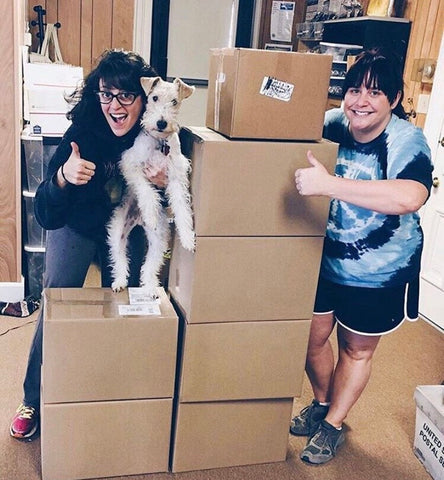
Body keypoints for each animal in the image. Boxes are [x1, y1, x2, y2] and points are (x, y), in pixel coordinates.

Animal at [106, 76, 195, 296]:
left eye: (174, 101)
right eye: (154, 97)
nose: (161, 123)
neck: (160, 142)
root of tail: (138, 222)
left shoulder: (176, 177)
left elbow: (182, 208)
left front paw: (188, 238)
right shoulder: (131, 165)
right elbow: (147, 192)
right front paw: (151, 214)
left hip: (158, 240)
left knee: (149, 265)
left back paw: (151, 288)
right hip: (118, 232)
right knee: (119, 258)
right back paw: (119, 281)